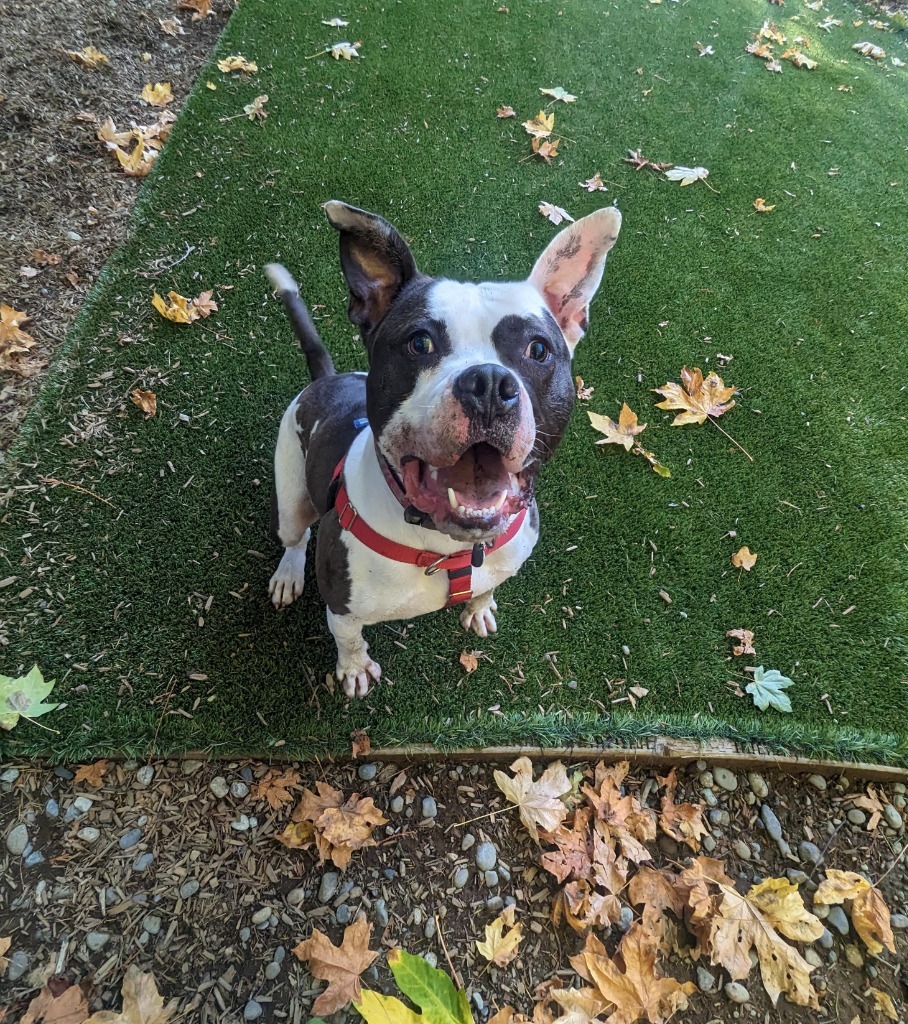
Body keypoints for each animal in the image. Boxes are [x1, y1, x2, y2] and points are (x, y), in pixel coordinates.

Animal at [266, 199, 622, 696]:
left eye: (537, 350)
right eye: (420, 342)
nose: (489, 384)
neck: (446, 548)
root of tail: (325, 379)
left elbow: (487, 587)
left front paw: (480, 606)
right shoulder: (342, 606)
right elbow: (349, 639)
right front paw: (354, 669)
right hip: (290, 489)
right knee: (294, 536)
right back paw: (287, 574)